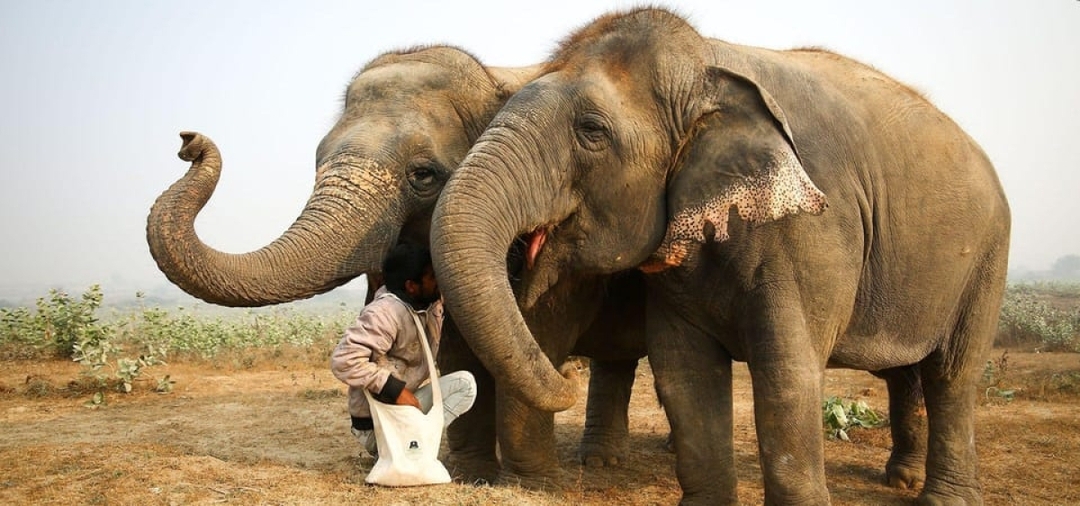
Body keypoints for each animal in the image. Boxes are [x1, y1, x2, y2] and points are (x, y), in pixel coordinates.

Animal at [429, 8, 1010, 506]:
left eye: (591, 131)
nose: (568, 376)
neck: (709, 64)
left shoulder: (813, 229)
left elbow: (787, 373)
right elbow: (684, 373)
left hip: (988, 256)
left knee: (952, 374)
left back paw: (941, 496)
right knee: (907, 372)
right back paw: (901, 478)